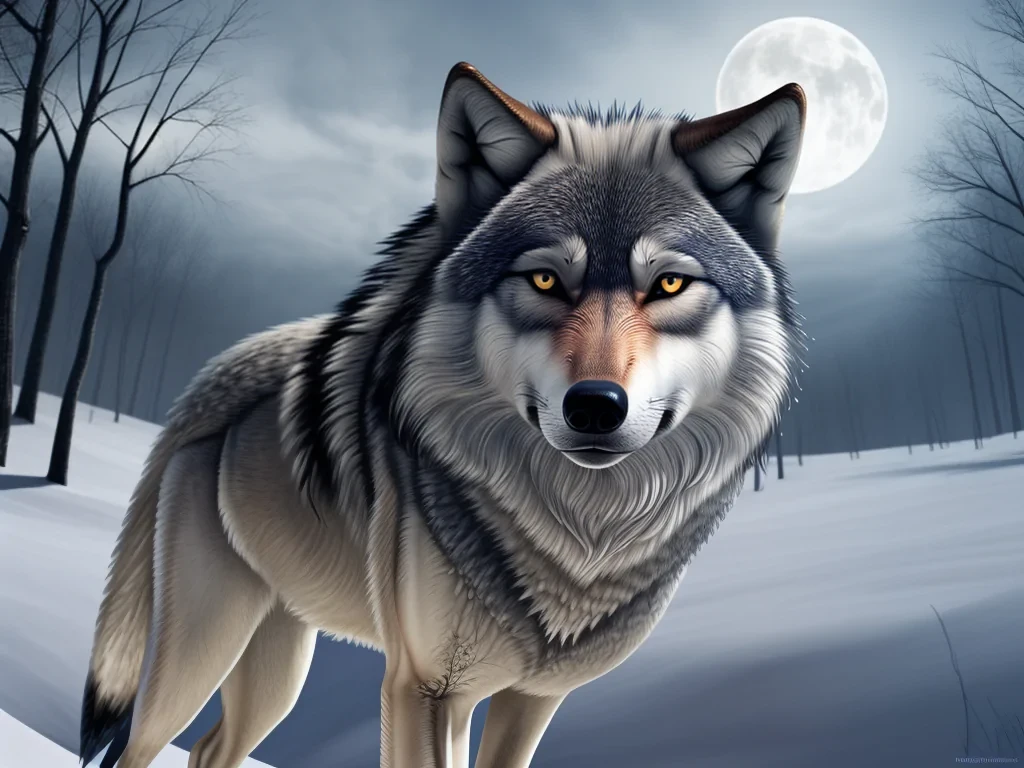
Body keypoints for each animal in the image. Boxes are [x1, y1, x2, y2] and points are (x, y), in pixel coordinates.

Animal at [79, 62, 806, 768]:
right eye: (545, 280)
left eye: (668, 285)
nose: (596, 405)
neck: (577, 533)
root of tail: (226, 371)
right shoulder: (427, 688)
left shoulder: (532, 698)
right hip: (202, 650)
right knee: (139, 748)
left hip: (277, 665)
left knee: (211, 748)